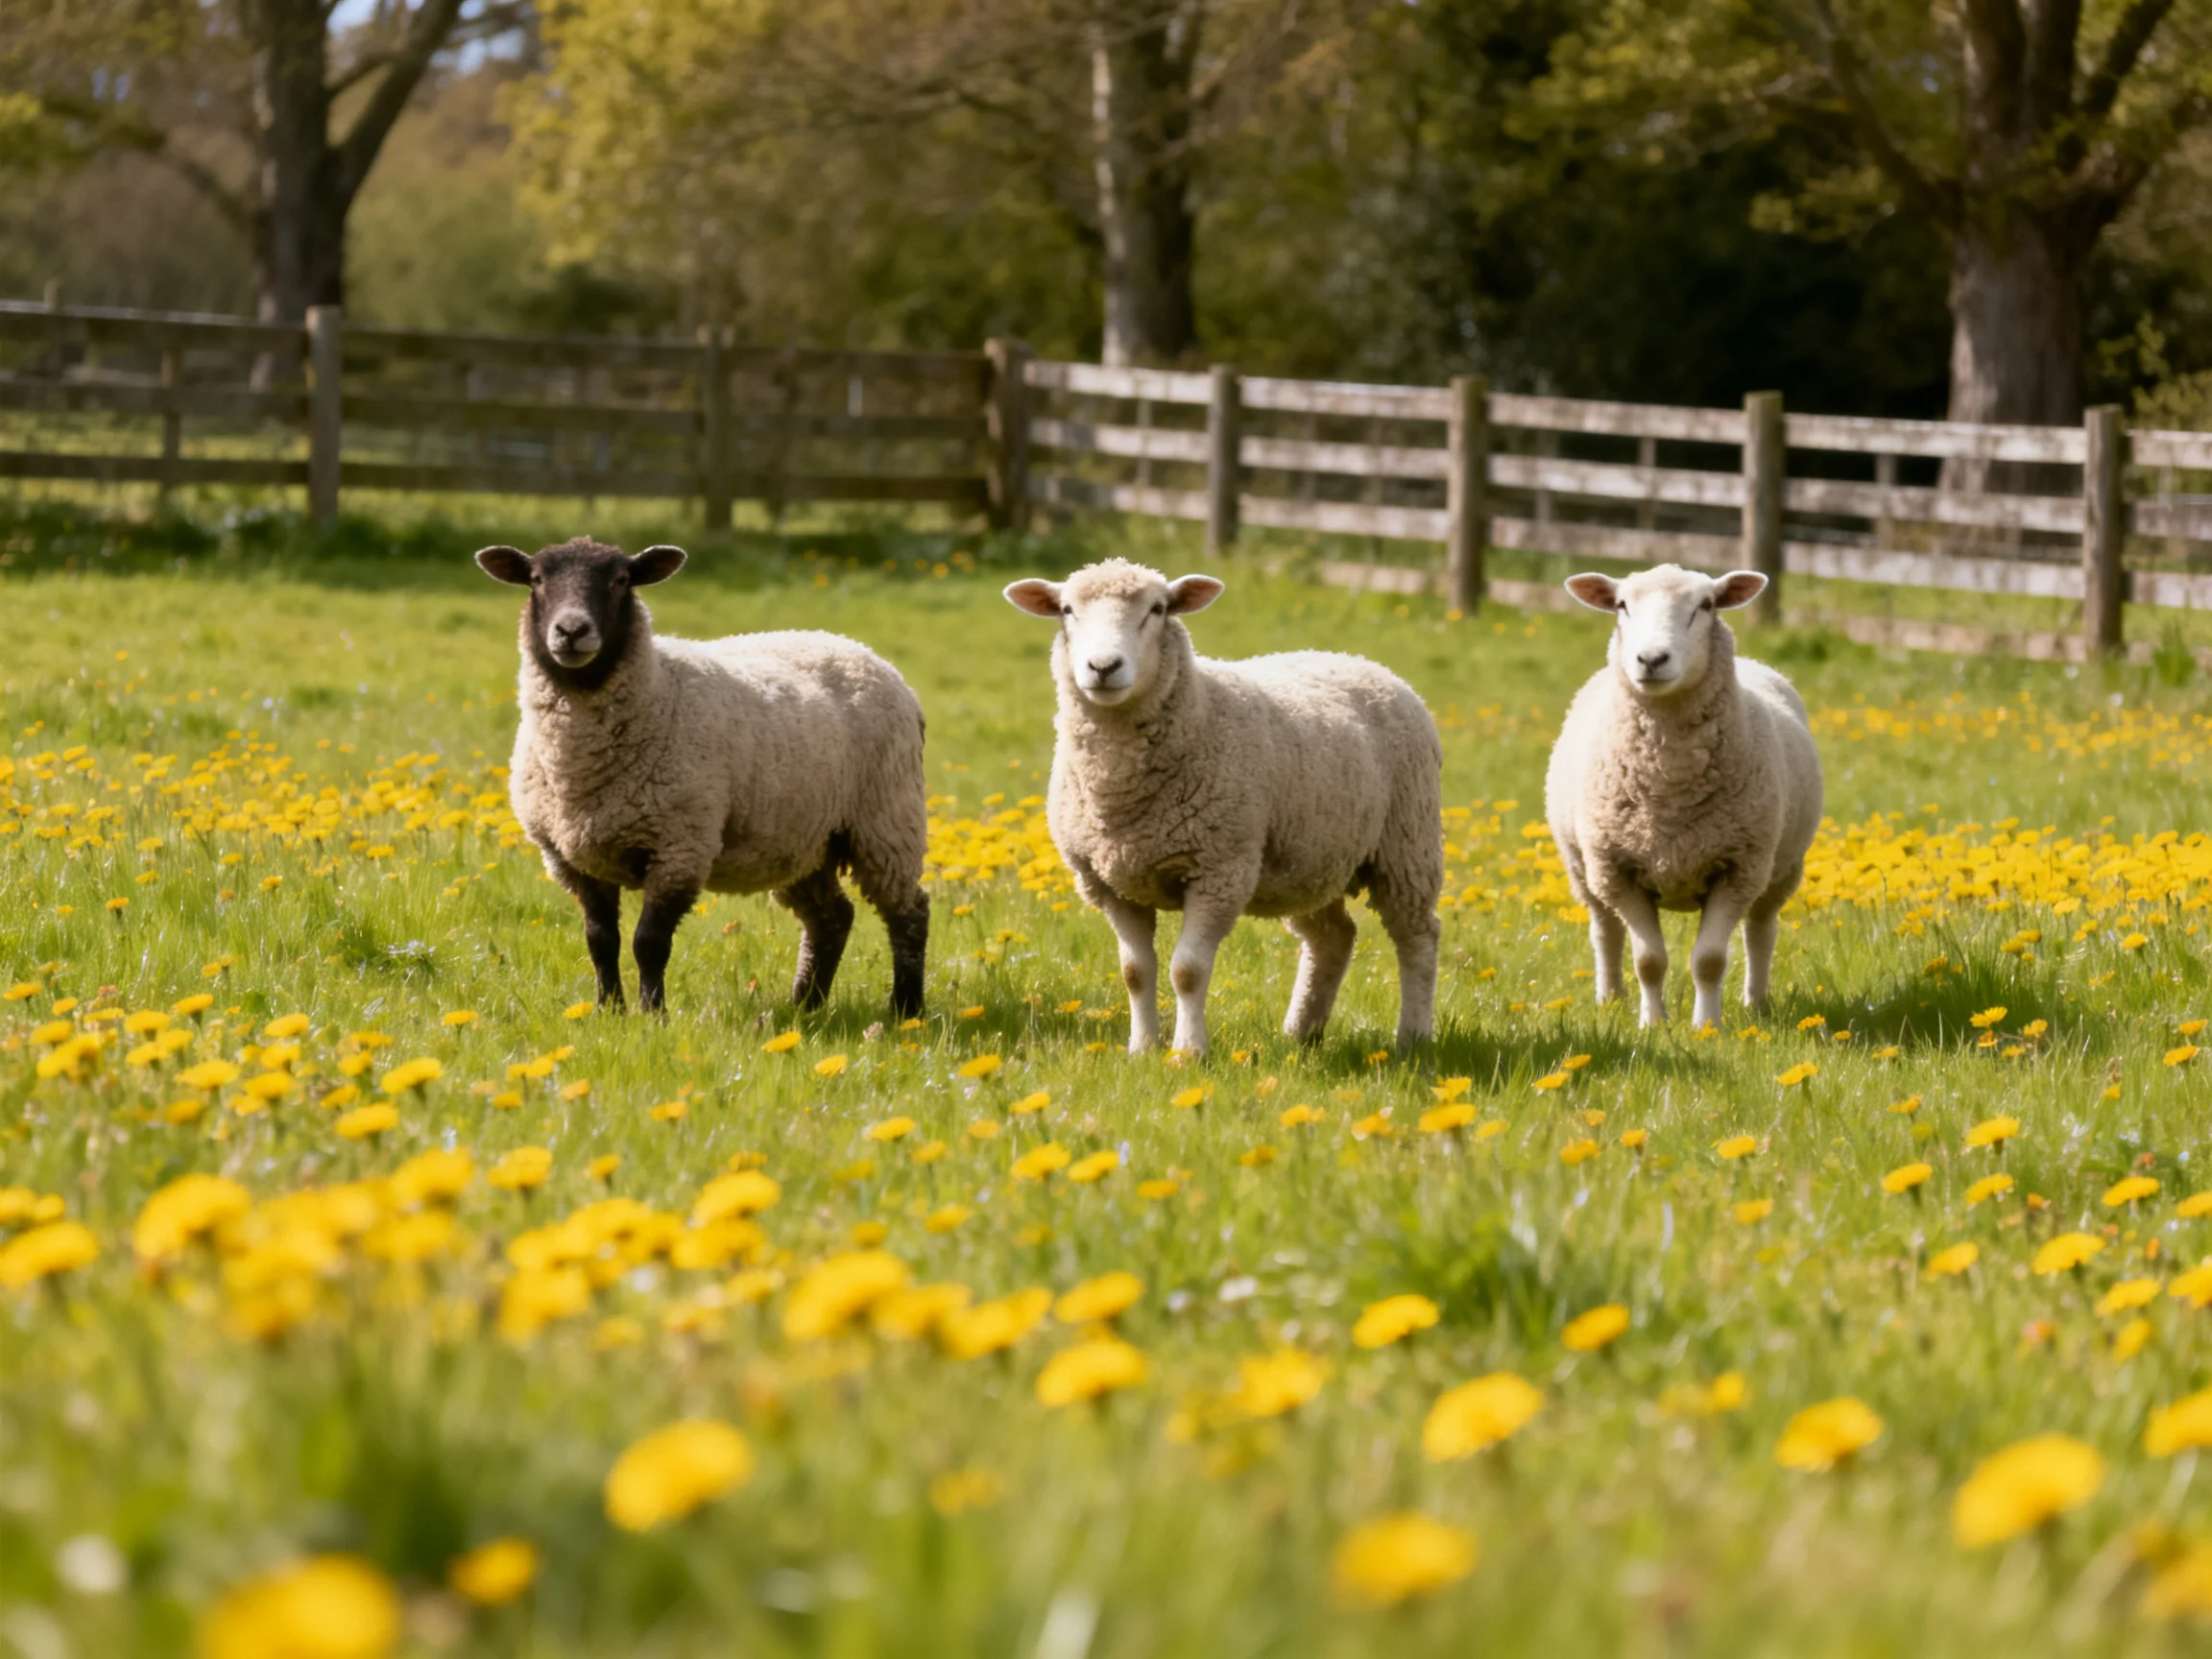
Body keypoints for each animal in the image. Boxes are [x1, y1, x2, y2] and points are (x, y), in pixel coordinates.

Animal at [476, 536, 930, 1017]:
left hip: (887, 820)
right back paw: (804, 1005)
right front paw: (608, 1010)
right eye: (536, 580)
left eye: (621, 580)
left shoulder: (680, 846)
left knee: (909, 912)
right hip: (805, 837)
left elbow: (648, 943)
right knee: (831, 917)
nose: (571, 631)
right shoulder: (571, 858)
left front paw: (653, 1015)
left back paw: (906, 1009)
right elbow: (600, 941)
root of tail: (860, 650)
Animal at [1003, 558, 1443, 1056]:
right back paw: (1301, 1033)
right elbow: (1135, 972)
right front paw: (1142, 1049)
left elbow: (1187, 971)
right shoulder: (1110, 883)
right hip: (1310, 860)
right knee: (1332, 937)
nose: (1103, 666)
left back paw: (1413, 1036)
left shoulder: (1219, 871)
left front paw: (1188, 1053)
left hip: (1407, 845)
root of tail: (1356, 659)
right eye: (1066, 610)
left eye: (1157, 609)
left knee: (1417, 936)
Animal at [1545, 563, 1823, 1031]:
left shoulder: (1738, 868)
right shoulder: (1618, 871)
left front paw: (1706, 1027)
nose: (1652, 660)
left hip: (1779, 870)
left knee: (1760, 931)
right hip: (1585, 870)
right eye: (1622, 605)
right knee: (1605, 931)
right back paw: (1610, 999)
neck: (1670, 784)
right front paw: (1653, 1025)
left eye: (1705, 605)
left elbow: (1709, 961)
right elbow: (1648, 960)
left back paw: (1756, 1002)